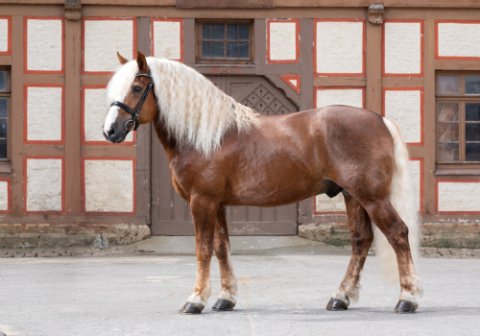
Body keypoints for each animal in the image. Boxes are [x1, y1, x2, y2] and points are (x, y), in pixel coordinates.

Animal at [103, 51, 422, 316]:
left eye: (136, 87)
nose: (110, 131)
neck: (207, 138)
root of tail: (379, 120)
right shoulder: (217, 204)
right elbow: (221, 247)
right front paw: (225, 298)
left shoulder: (202, 201)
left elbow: (202, 249)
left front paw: (195, 300)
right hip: (352, 196)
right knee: (360, 240)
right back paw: (340, 297)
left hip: (372, 198)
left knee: (398, 233)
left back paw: (407, 299)